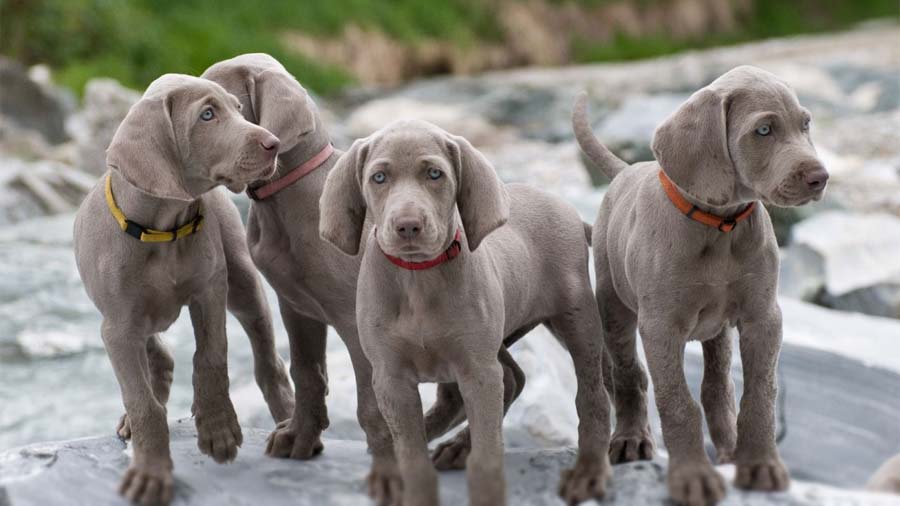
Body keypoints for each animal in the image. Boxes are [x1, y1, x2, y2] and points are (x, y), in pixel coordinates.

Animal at [73, 73, 294, 504]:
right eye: (207, 115)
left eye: (238, 109)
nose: (273, 143)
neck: (163, 229)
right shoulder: (118, 327)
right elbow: (142, 402)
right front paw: (151, 473)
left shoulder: (210, 291)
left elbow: (211, 357)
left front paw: (218, 428)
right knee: (158, 357)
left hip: (243, 284)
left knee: (267, 357)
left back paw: (289, 419)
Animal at [318, 119, 612, 506]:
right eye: (378, 178)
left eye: (434, 174)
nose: (407, 226)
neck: (418, 277)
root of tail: (571, 212)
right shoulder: (391, 377)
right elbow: (411, 456)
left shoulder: (477, 370)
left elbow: (487, 456)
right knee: (513, 377)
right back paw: (452, 444)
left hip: (576, 320)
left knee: (592, 396)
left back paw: (588, 472)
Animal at [572, 64, 828, 506]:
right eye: (764, 130)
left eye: (805, 124)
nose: (821, 178)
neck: (720, 226)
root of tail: (626, 170)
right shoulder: (660, 327)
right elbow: (677, 402)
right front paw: (692, 476)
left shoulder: (763, 317)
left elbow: (759, 395)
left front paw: (760, 465)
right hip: (614, 306)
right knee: (629, 375)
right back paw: (630, 438)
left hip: (717, 328)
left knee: (717, 386)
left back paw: (728, 450)